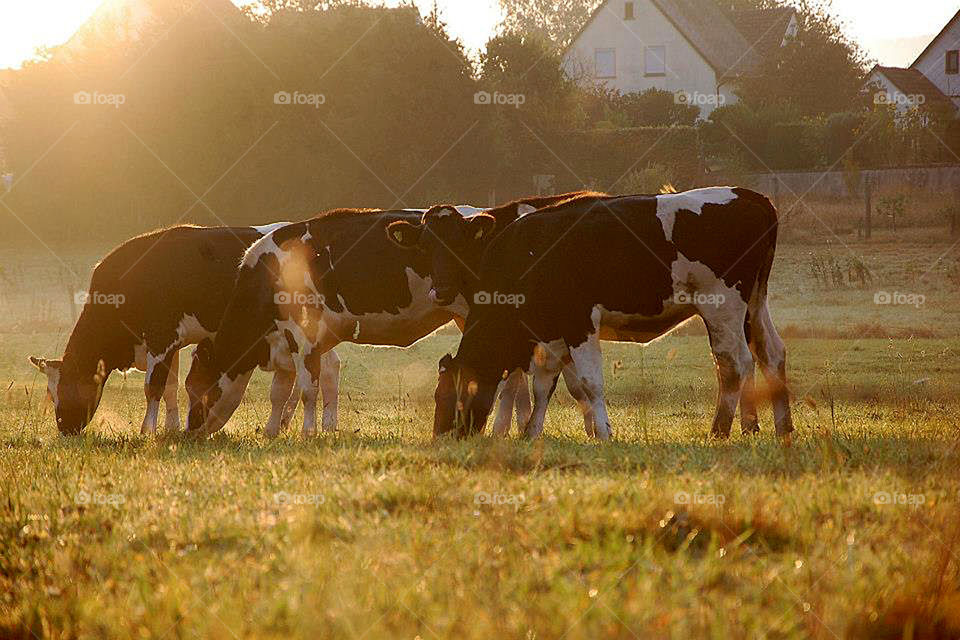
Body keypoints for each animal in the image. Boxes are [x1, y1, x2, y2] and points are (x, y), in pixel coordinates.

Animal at [28, 223, 340, 436]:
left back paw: (323, 424)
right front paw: (171, 427)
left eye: (69, 386)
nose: (65, 429)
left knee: (324, 371)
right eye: (50, 393)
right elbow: (169, 387)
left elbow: (152, 387)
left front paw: (147, 430)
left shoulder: (161, 338)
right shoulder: (171, 344)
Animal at [185, 196, 588, 439]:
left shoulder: (305, 334)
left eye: (197, 388)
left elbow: (308, 388)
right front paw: (272, 432)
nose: (188, 432)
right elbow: (279, 391)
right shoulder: (283, 341)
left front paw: (308, 433)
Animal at [430, 188, 794, 442]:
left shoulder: (578, 323)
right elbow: (543, 385)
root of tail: (752, 196)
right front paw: (532, 432)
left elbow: (589, 383)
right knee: (771, 353)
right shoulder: (551, 334)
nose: (443, 436)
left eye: (450, 395)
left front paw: (603, 433)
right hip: (755, 303)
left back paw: (719, 430)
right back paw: (783, 427)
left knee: (734, 363)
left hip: (723, 307)